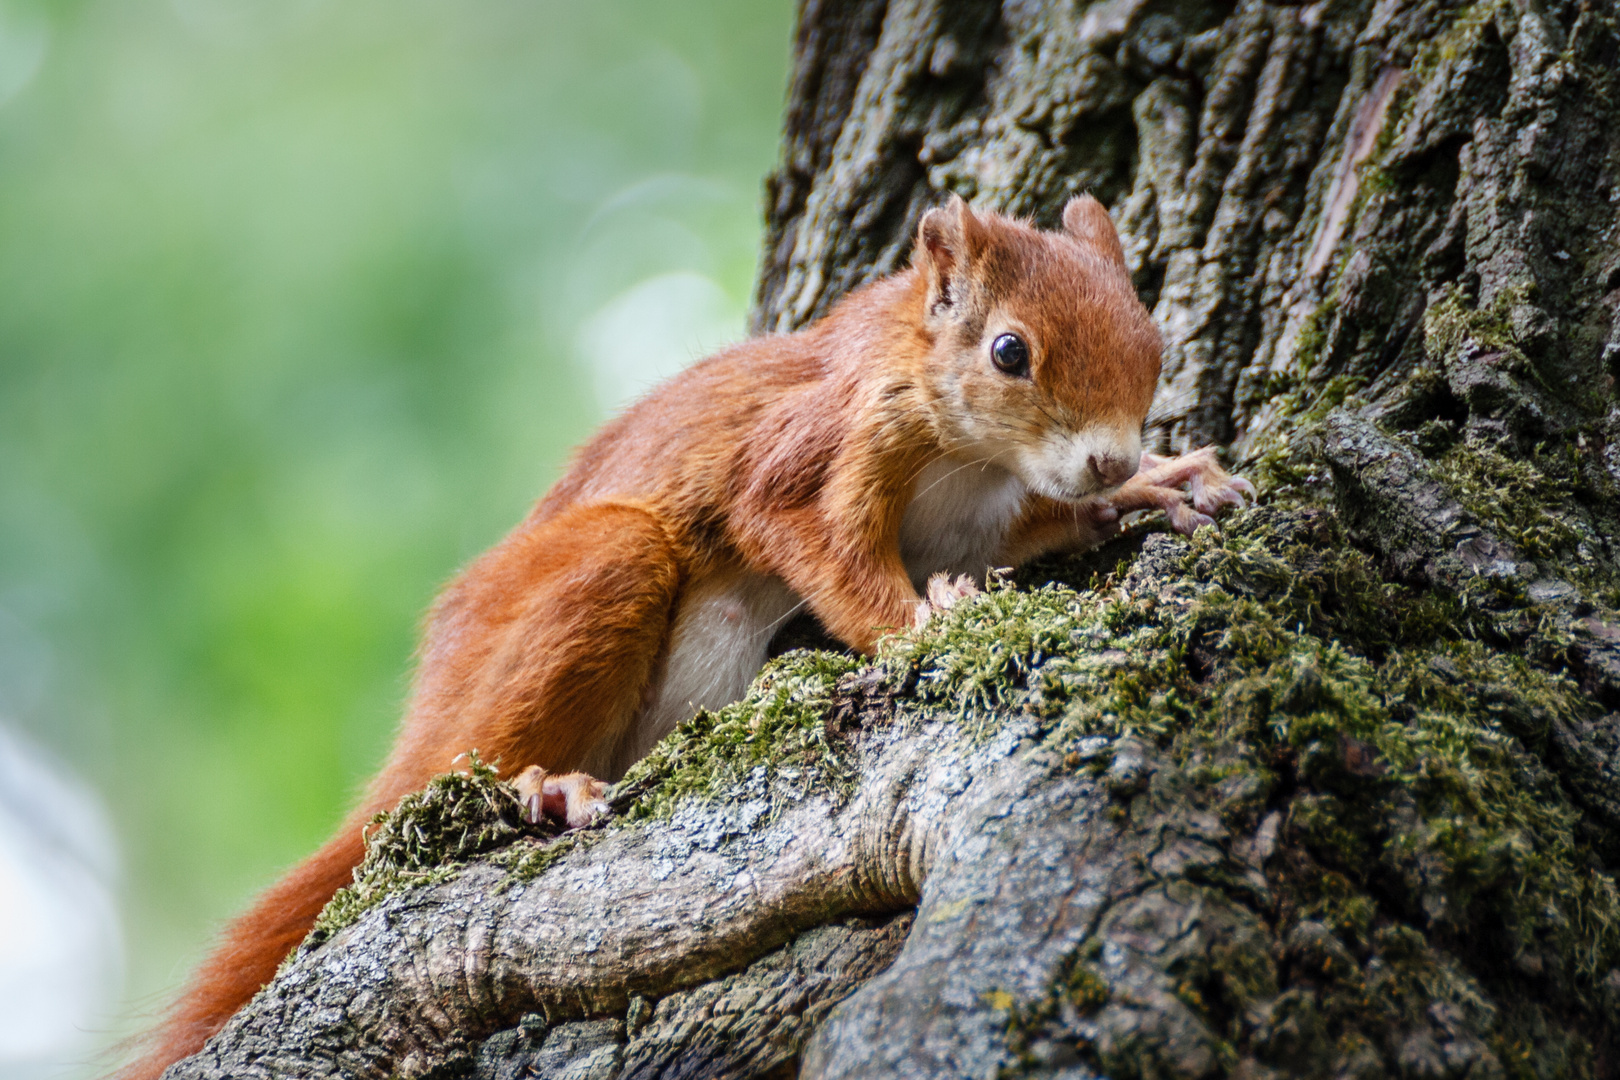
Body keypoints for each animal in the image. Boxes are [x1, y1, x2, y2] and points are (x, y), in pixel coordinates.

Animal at [119, 194, 1250, 1080]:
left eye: (1152, 340)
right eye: (1010, 352)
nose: (1110, 458)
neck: (968, 456)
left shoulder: (986, 517)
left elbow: (1034, 528)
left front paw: (1159, 487)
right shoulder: (816, 446)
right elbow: (815, 542)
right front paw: (930, 620)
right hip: (591, 581)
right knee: (464, 760)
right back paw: (541, 784)